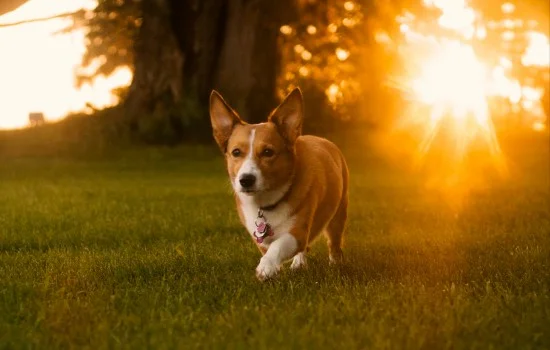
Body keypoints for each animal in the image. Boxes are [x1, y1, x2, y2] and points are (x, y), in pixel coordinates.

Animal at [211, 89, 350, 280]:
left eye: (268, 152)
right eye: (236, 152)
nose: (246, 180)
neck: (267, 203)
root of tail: (322, 139)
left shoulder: (297, 233)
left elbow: (278, 246)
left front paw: (266, 267)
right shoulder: (260, 238)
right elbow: (271, 247)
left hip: (338, 215)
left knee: (334, 242)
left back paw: (336, 263)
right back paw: (299, 263)